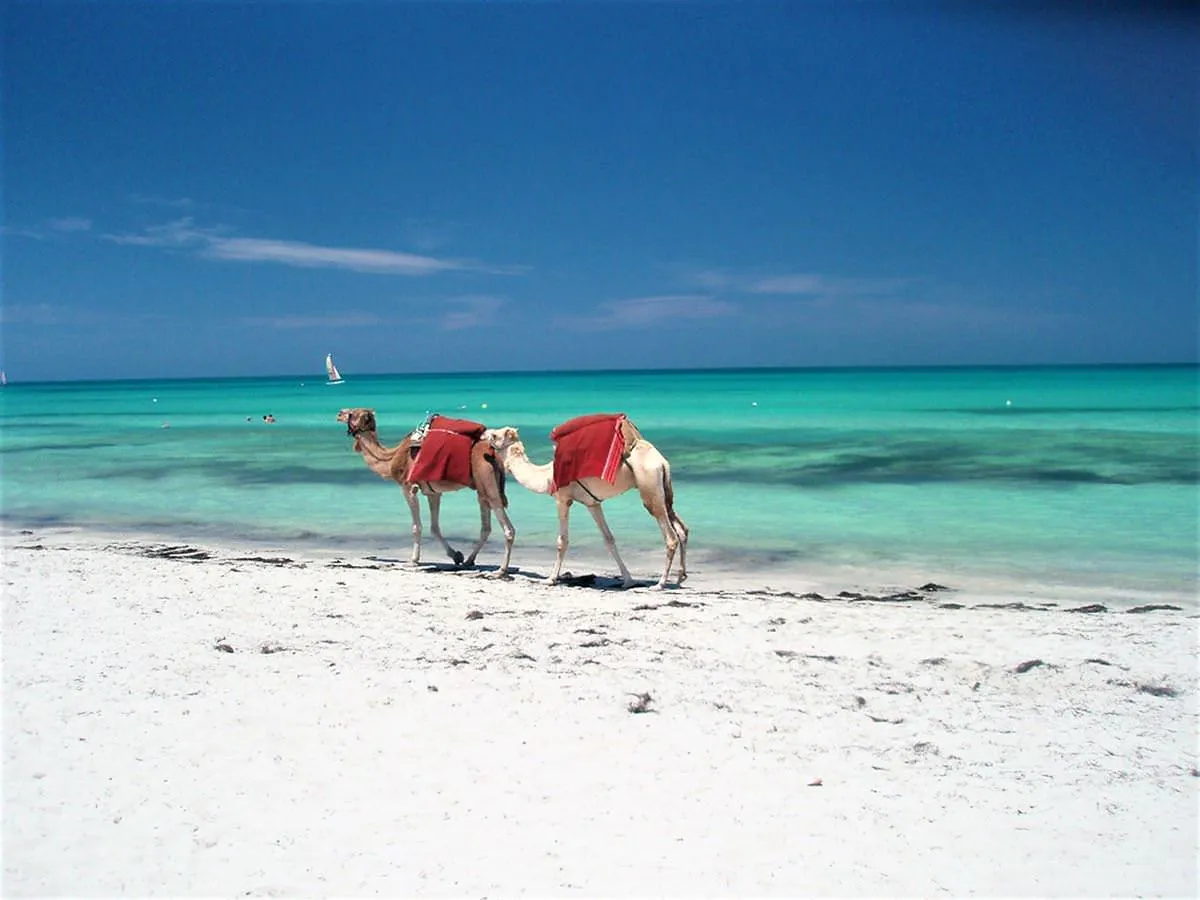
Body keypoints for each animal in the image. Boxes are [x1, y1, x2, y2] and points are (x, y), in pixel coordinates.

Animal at [336, 410, 513, 578]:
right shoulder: (432, 493)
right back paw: (470, 560)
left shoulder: (408, 487)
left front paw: (413, 560)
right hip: (481, 489)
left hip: (488, 483)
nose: (339, 413)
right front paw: (456, 555)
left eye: (351, 413)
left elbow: (417, 526)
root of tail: (494, 455)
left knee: (508, 528)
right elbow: (434, 527)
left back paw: (501, 570)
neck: (392, 457)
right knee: (486, 527)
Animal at [477, 417, 686, 592]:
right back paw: (679, 578)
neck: (546, 476)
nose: (483, 433)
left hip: (649, 489)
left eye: (495, 436)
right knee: (681, 529)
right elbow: (609, 539)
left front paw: (550, 579)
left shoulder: (562, 499)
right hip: (664, 493)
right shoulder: (592, 504)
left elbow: (562, 541)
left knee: (670, 537)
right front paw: (627, 581)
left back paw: (660, 584)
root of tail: (662, 462)